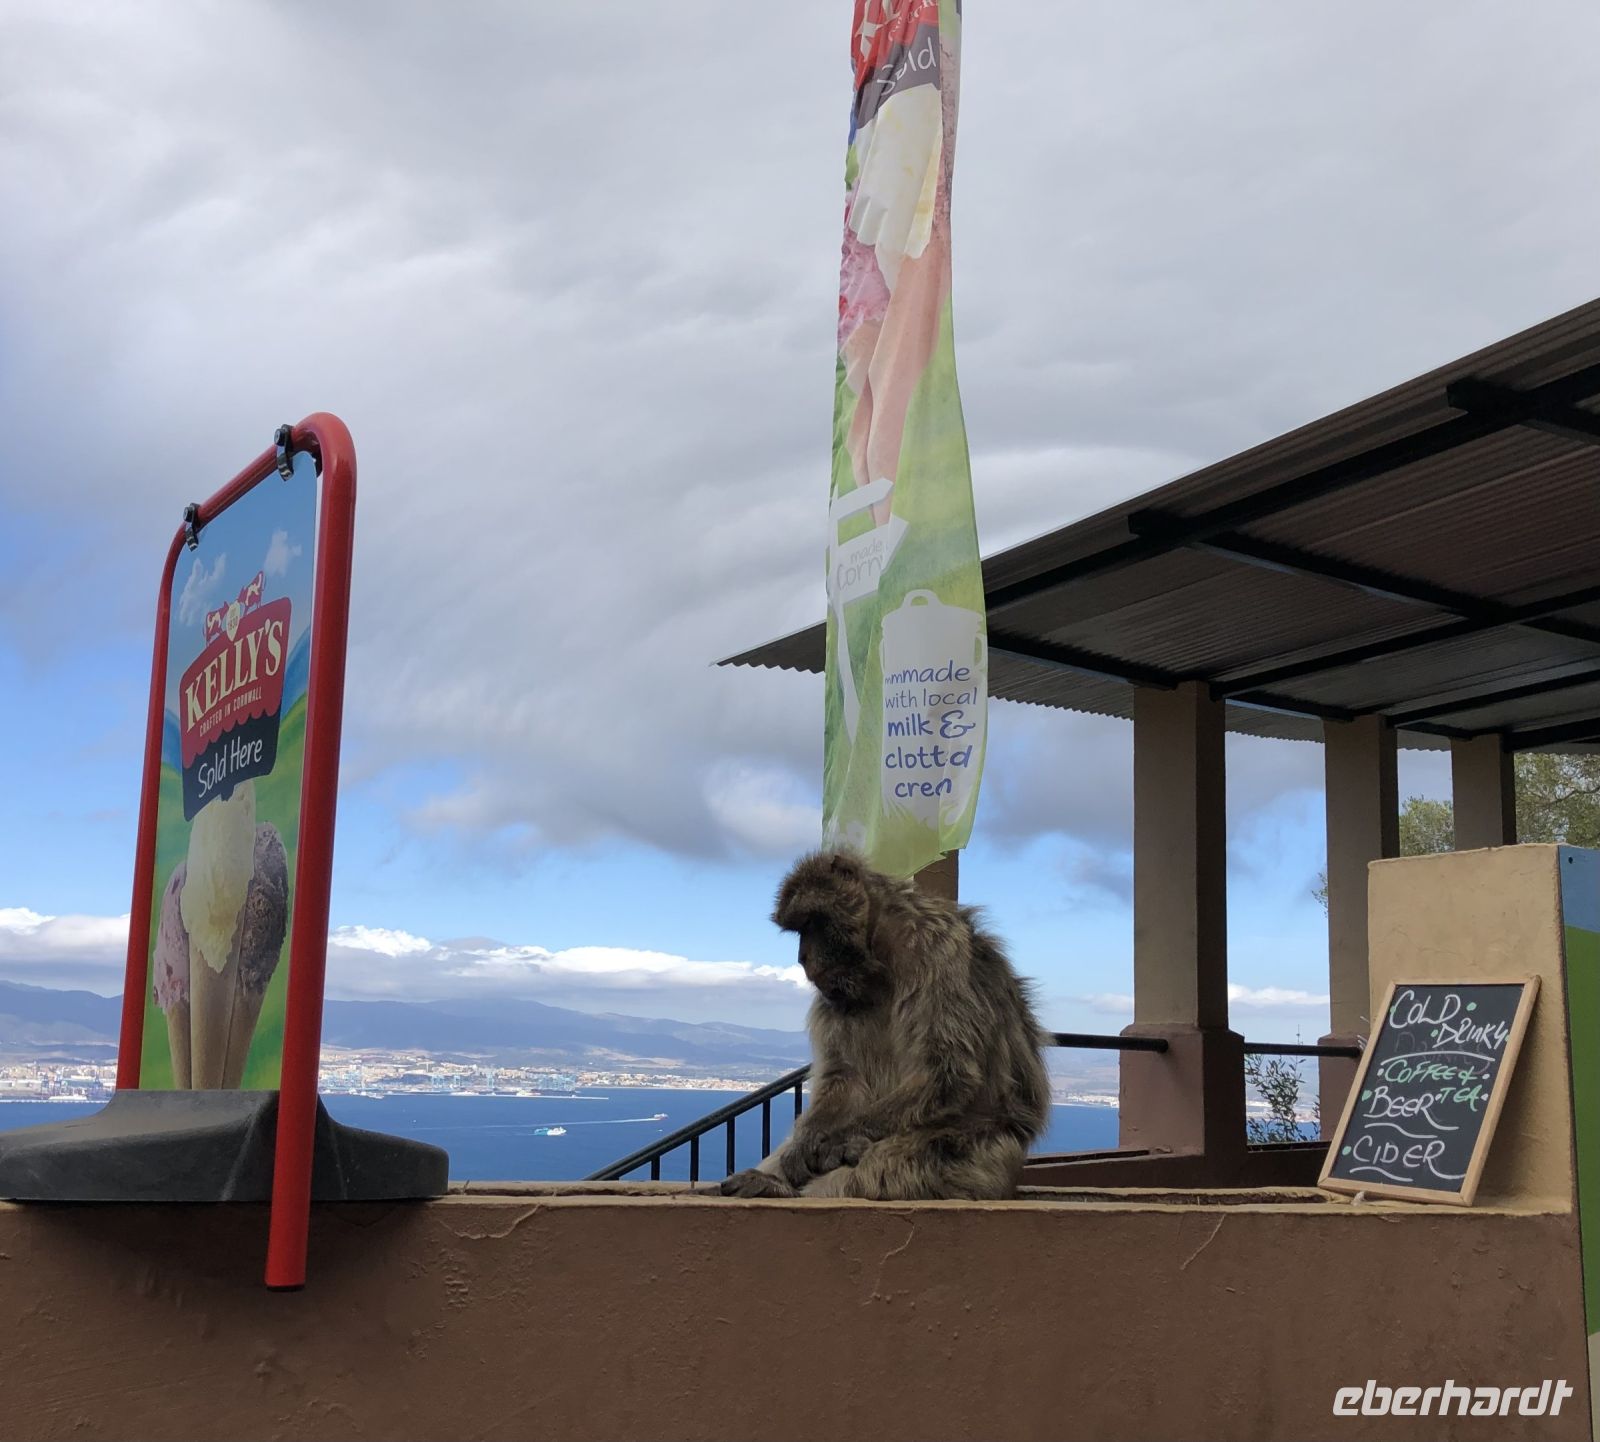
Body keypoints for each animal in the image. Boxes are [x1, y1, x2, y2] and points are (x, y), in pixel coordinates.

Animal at [720, 849, 1050, 1201]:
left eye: (810, 924)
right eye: (799, 931)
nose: (802, 957)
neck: (881, 953)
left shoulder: (935, 948)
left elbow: (947, 1073)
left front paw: (838, 1140)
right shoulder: (834, 993)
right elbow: (844, 1075)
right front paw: (804, 1145)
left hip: (986, 1159)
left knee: (890, 1161)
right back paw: (773, 1181)